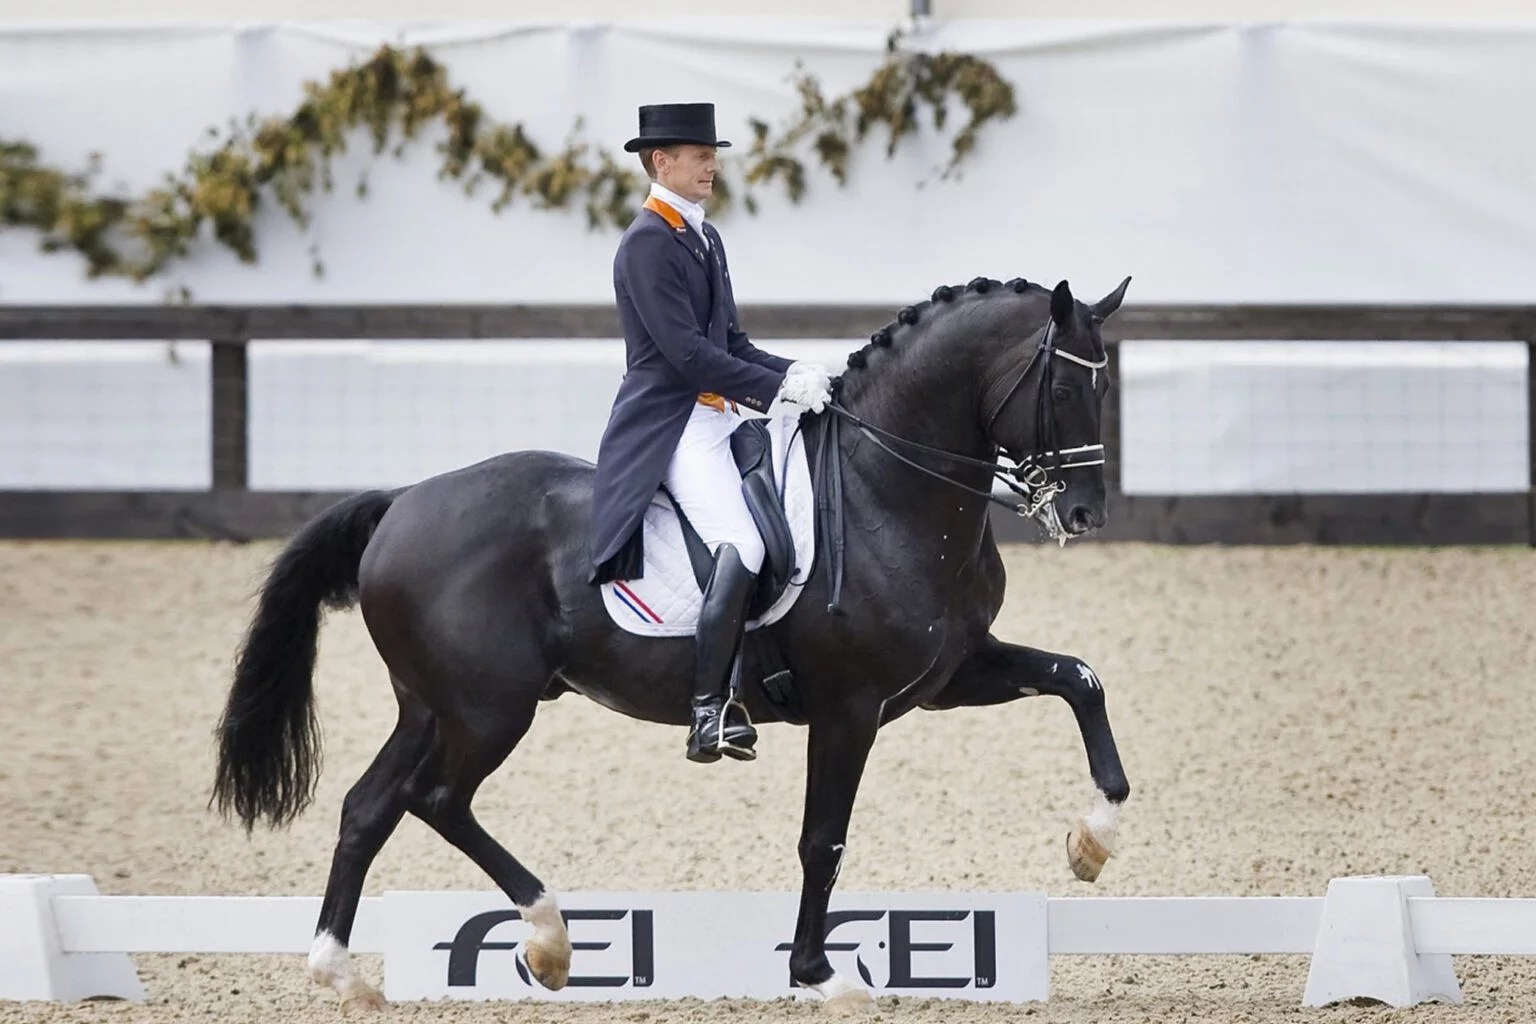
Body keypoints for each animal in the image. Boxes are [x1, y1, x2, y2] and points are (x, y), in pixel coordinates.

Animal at [211, 274, 1134, 1013]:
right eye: (1063, 386)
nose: (1085, 513)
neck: (886, 492)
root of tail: (401, 503)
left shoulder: (950, 675)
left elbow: (1081, 679)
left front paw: (1093, 842)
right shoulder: (851, 707)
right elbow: (823, 839)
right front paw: (819, 975)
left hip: (432, 706)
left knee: (370, 806)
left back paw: (343, 974)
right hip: (489, 708)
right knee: (436, 800)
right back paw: (549, 940)